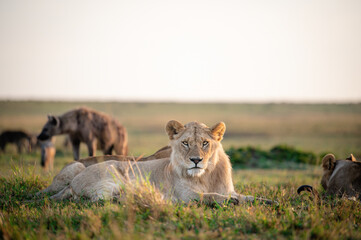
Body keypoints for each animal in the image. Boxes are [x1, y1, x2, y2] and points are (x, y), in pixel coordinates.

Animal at [38, 121, 272, 205]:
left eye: (205, 143)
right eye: (186, 143)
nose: (196, 160)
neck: (206, 175)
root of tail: (72, 183)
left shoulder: (229, 189)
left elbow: (245, 196)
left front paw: (271, 202)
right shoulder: (187, 196)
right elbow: (214, 197)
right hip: (111, 178)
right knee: (98, 200)